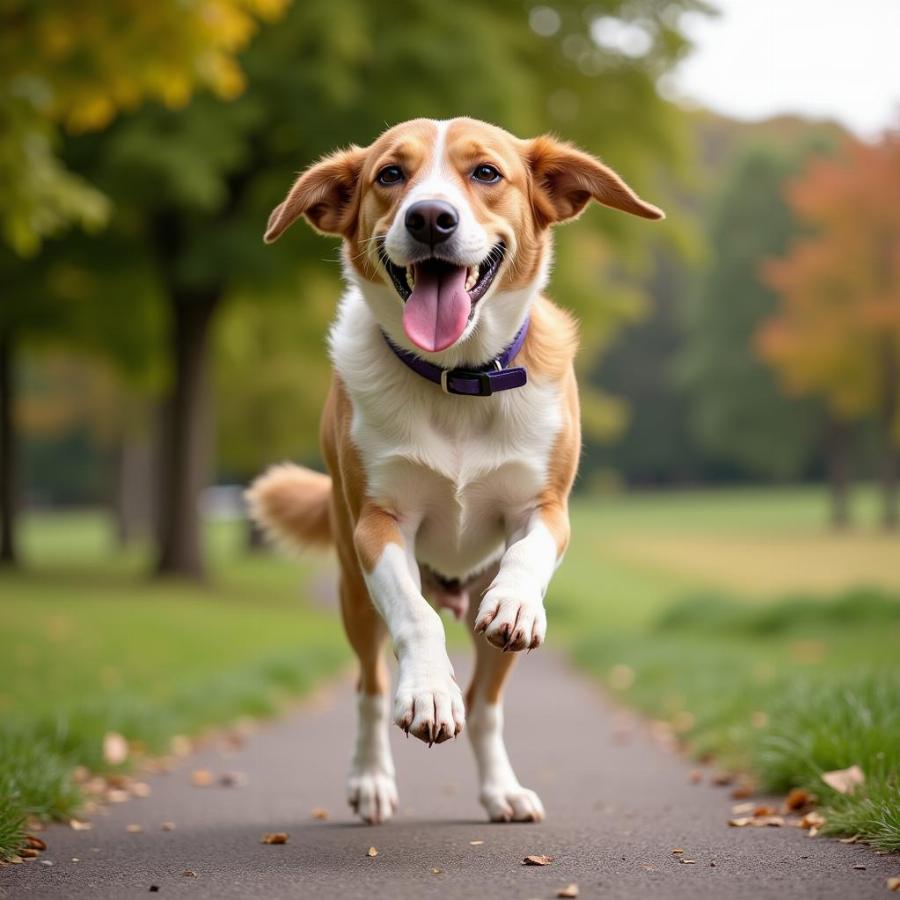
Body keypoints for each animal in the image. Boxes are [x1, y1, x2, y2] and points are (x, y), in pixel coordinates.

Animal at [246, 116, 660, 828]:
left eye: (486, 172)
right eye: (390, 174)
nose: (431, 218)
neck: (459, 377)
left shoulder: (547, 509)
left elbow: (529, 554)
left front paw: (518, 604)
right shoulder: (377, 527)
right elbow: (416, 619)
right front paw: (429, 695)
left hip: (484, 632)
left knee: (487, 702)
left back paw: (502, 789)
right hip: (353, 596)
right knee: (371, 685)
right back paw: (372, 778)